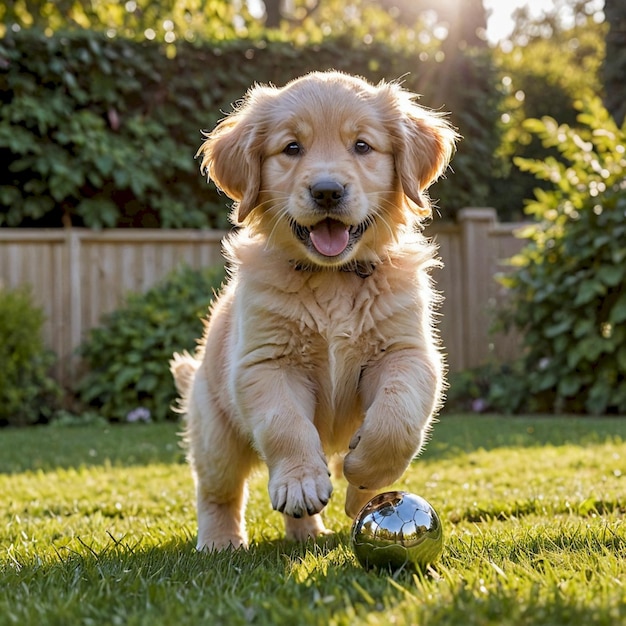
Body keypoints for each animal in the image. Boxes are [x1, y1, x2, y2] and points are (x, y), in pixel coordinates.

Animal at [168, 70, 456, 548]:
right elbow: (286, 426)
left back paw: (309, 530)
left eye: (362, 146)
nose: (326, 191)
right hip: (215, 432)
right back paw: (220, 540)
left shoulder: (405, 352)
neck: (332, 276)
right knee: (218, 491)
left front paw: (364, 480)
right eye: (291, 148)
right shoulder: (267, 364)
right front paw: (301, 481)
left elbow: (396, 418)